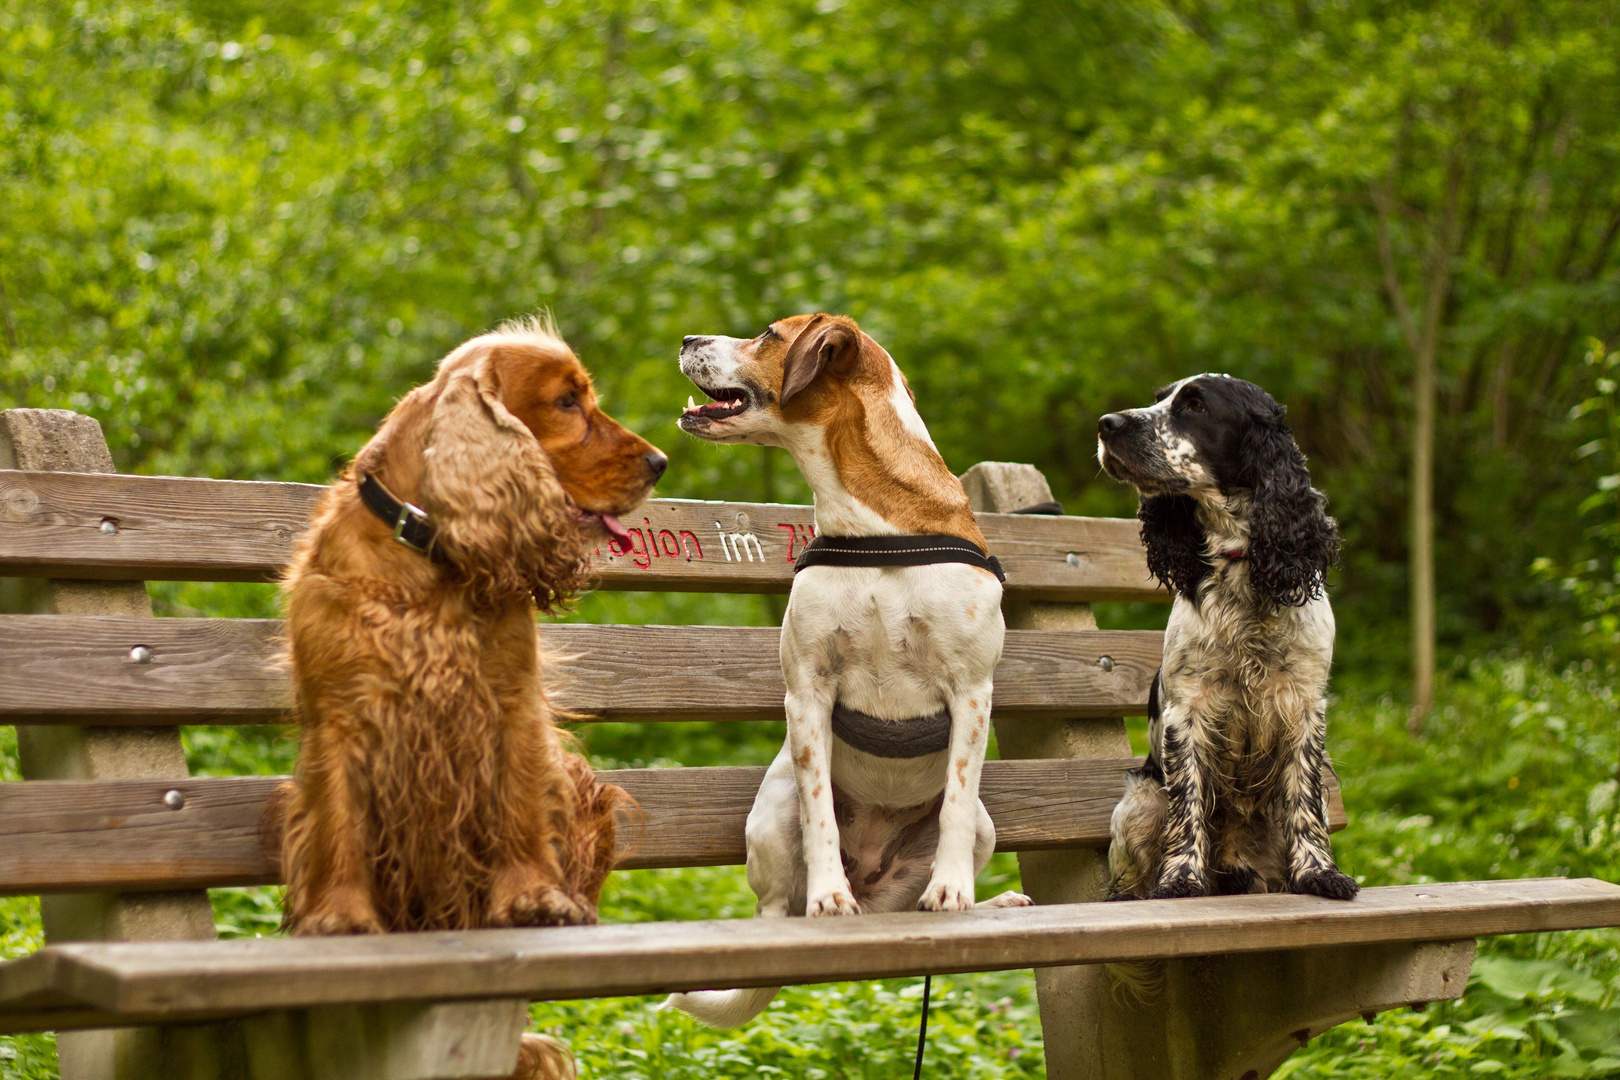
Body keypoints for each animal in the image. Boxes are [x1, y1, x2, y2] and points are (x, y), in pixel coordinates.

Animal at [280, 317, 664, 939]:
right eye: (566, 402)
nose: (661, 462)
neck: (426, 560)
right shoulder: (338, 714)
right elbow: (338, 823)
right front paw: (338, 915)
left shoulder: (510, 699)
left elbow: (519, 807)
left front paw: (535, 897)